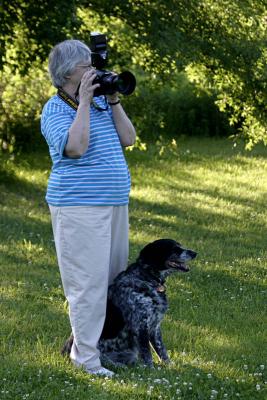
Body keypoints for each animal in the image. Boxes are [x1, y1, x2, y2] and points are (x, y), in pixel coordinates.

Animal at [61, 239, 198, 368]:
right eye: (174, 248)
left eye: (180, 246)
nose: (194, 253)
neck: (146, 278)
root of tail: (64, 352)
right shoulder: (140, 326)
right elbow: (147, 354)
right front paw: (151, 371)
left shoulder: (155, 327)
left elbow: (162, 350)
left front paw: (169, 366)